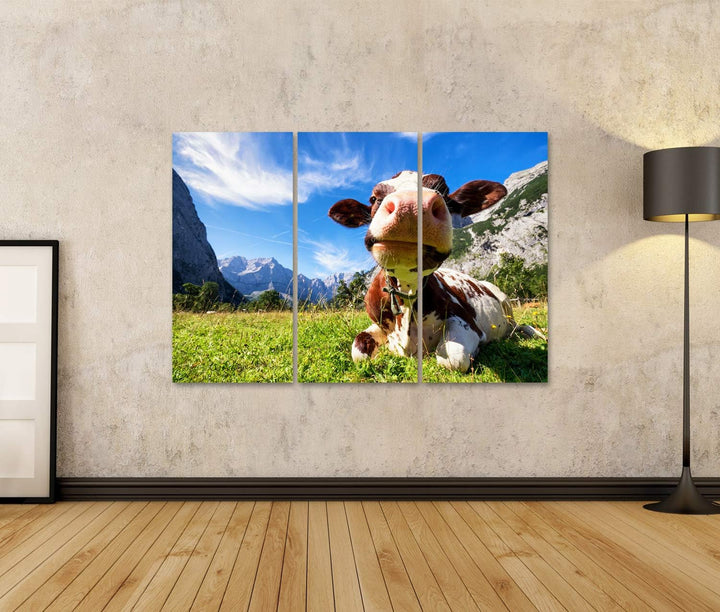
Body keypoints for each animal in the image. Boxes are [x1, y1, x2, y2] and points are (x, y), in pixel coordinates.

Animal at [328, 170, 543, 372]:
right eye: (373, 198)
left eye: (445, 192)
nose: (410, 206)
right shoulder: (377, 324)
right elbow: (358, 350)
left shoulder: (466, 321)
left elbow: (453, 358)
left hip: (505, 302)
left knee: (518, 326)